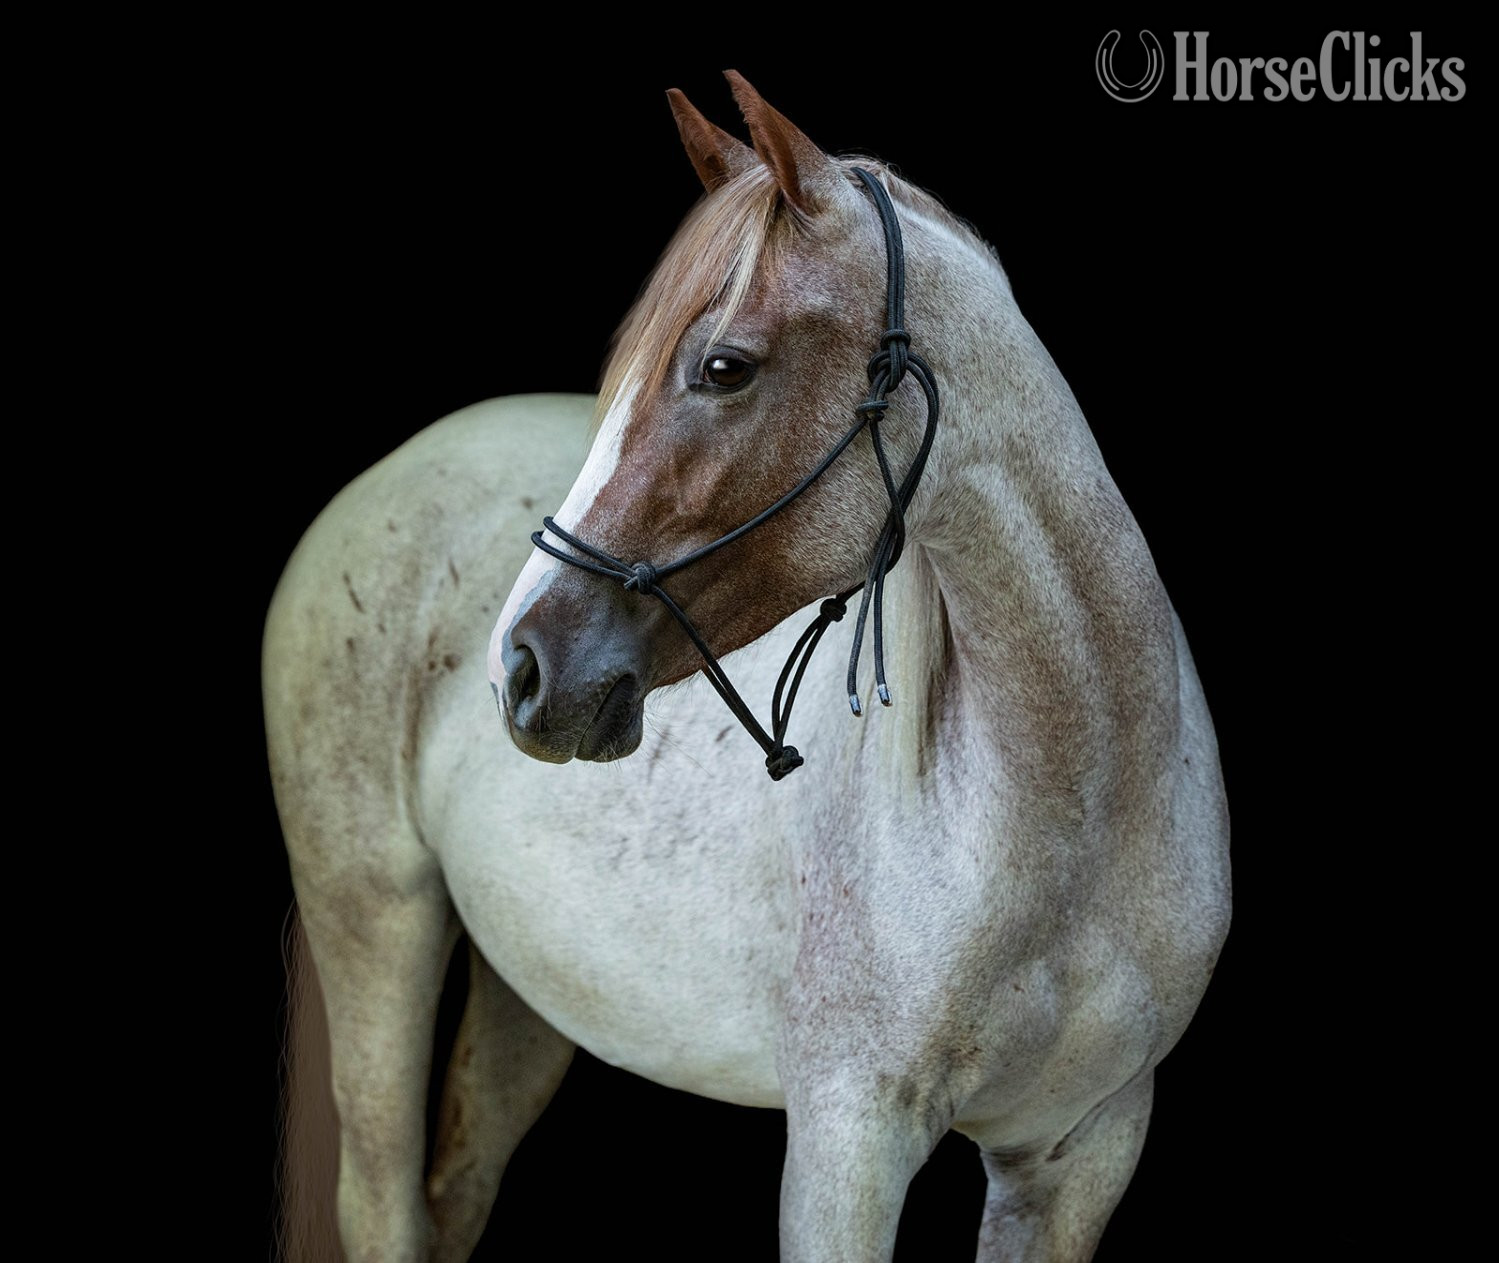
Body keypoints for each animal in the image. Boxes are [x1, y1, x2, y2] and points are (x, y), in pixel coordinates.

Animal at [265, 72, 1231, 1261]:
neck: (1070, 815)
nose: (520, 670)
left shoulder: (1076, 1154)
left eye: (722, 367)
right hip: (375, 922)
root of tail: (384, 475)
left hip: (526, 988)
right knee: (385, 1201)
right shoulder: (846, 1144)